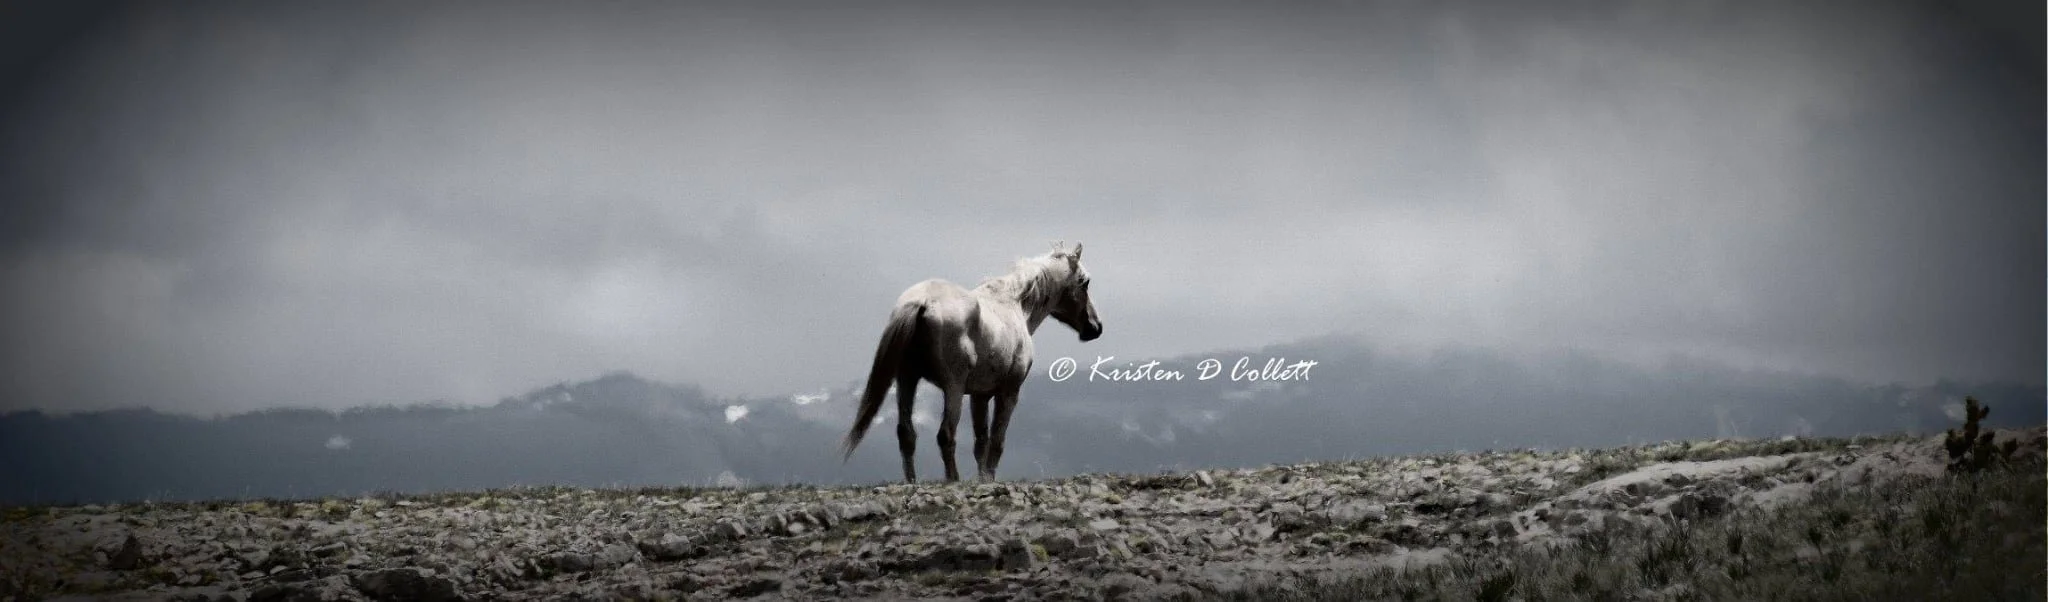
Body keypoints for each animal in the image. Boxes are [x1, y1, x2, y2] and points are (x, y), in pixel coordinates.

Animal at [840, 241, 1104, 483]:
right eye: (1085, 282)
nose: (1095, 327)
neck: (1015, 305)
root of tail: (922, 302)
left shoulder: (980, 395)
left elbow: (981, 443)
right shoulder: (1008, 392)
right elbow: (996, 441)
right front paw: (987, 479)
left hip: (907, 380)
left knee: (906, 433)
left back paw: (912, 481)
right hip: (952, 388)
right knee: (945, 434)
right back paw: (952, 479)